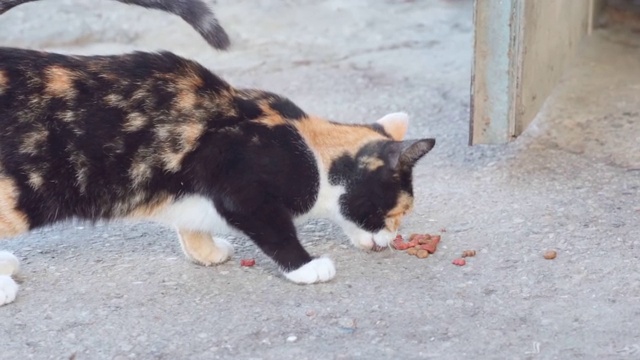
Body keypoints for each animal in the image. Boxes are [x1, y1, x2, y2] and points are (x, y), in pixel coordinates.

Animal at [0, 47, 438, 306]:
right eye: (396, 214)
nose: (393, 239)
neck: (310, 148)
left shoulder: (187, 188)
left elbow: (191, 224)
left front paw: (206, 251)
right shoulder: (243, 188)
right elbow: (276, 230)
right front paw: (307, 267)